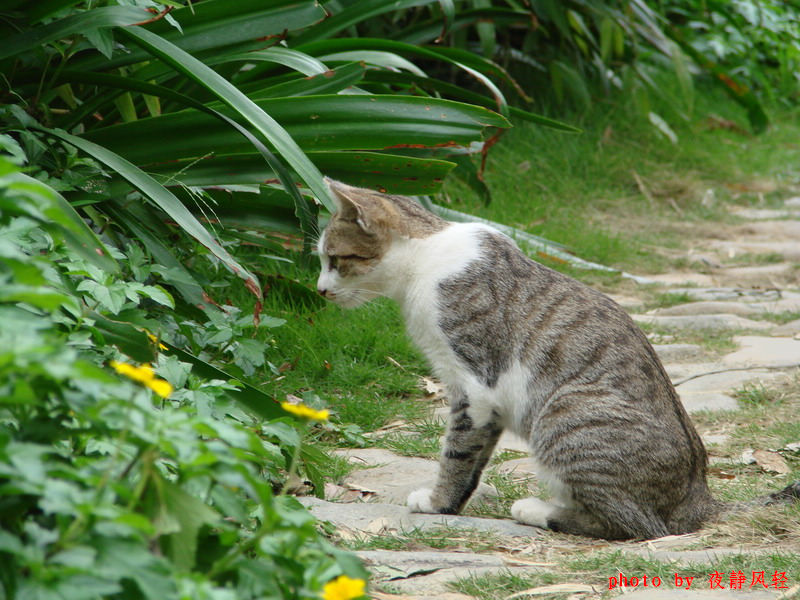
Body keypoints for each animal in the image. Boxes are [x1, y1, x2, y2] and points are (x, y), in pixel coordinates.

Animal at [318, 177, 800, 540]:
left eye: (335, 259)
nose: (320, 290)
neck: (426, 258)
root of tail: (699, 499)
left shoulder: (475, 384)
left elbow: (456, 453)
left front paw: (437, 504)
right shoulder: (486, 401)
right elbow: (474, 460)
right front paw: (453, 504)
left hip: (563, 415)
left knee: (637, 526)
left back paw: (538, 510)